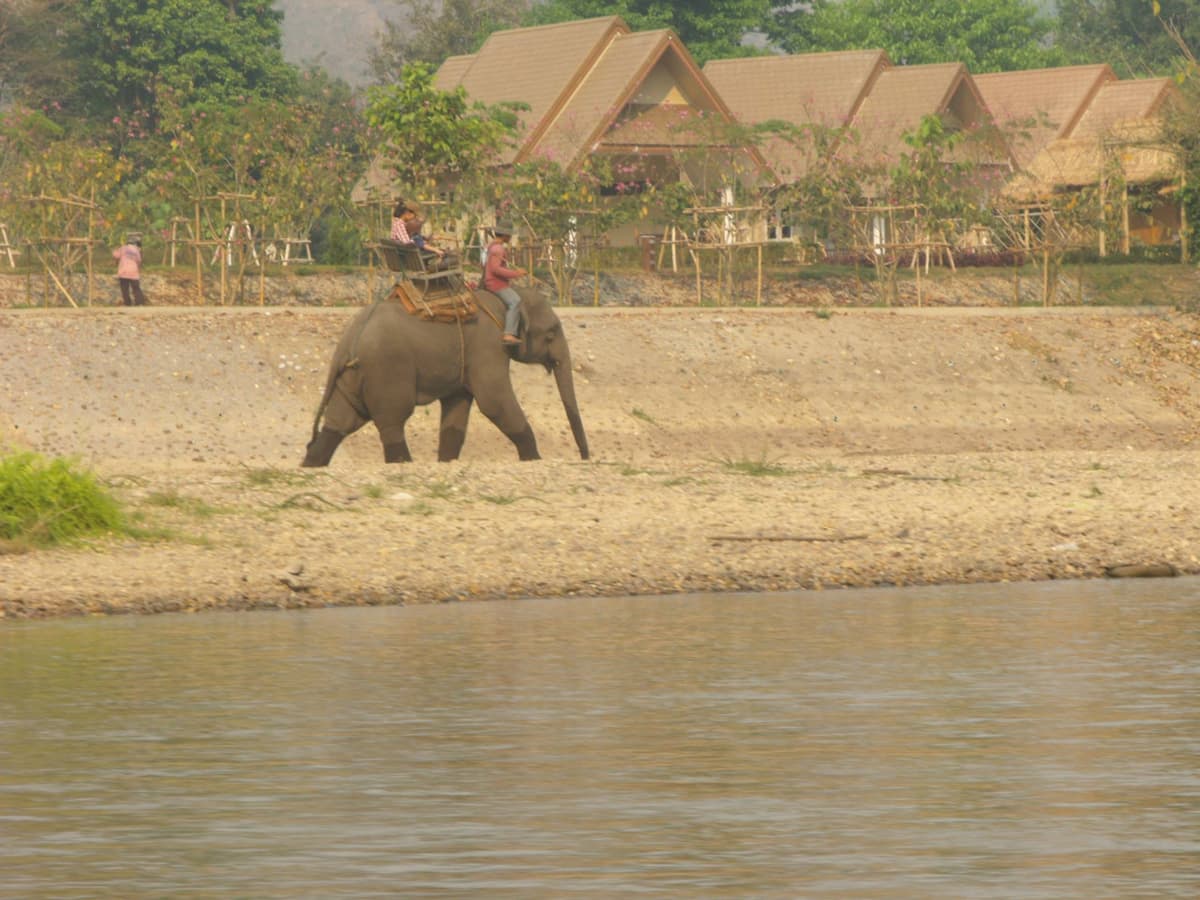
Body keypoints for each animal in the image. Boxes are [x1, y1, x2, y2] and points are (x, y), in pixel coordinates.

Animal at [301, 286, 589, 466]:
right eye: (551, 333)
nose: (585, 457)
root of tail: (347, 342)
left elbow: (457, 411)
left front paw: (446, 461)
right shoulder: (487, 347)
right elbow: (494, 401)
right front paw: (534, 459)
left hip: (352, 377)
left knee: (340, 422)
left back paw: (311, 464)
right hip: (386, 371)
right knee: (392, 421)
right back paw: (404, 463)